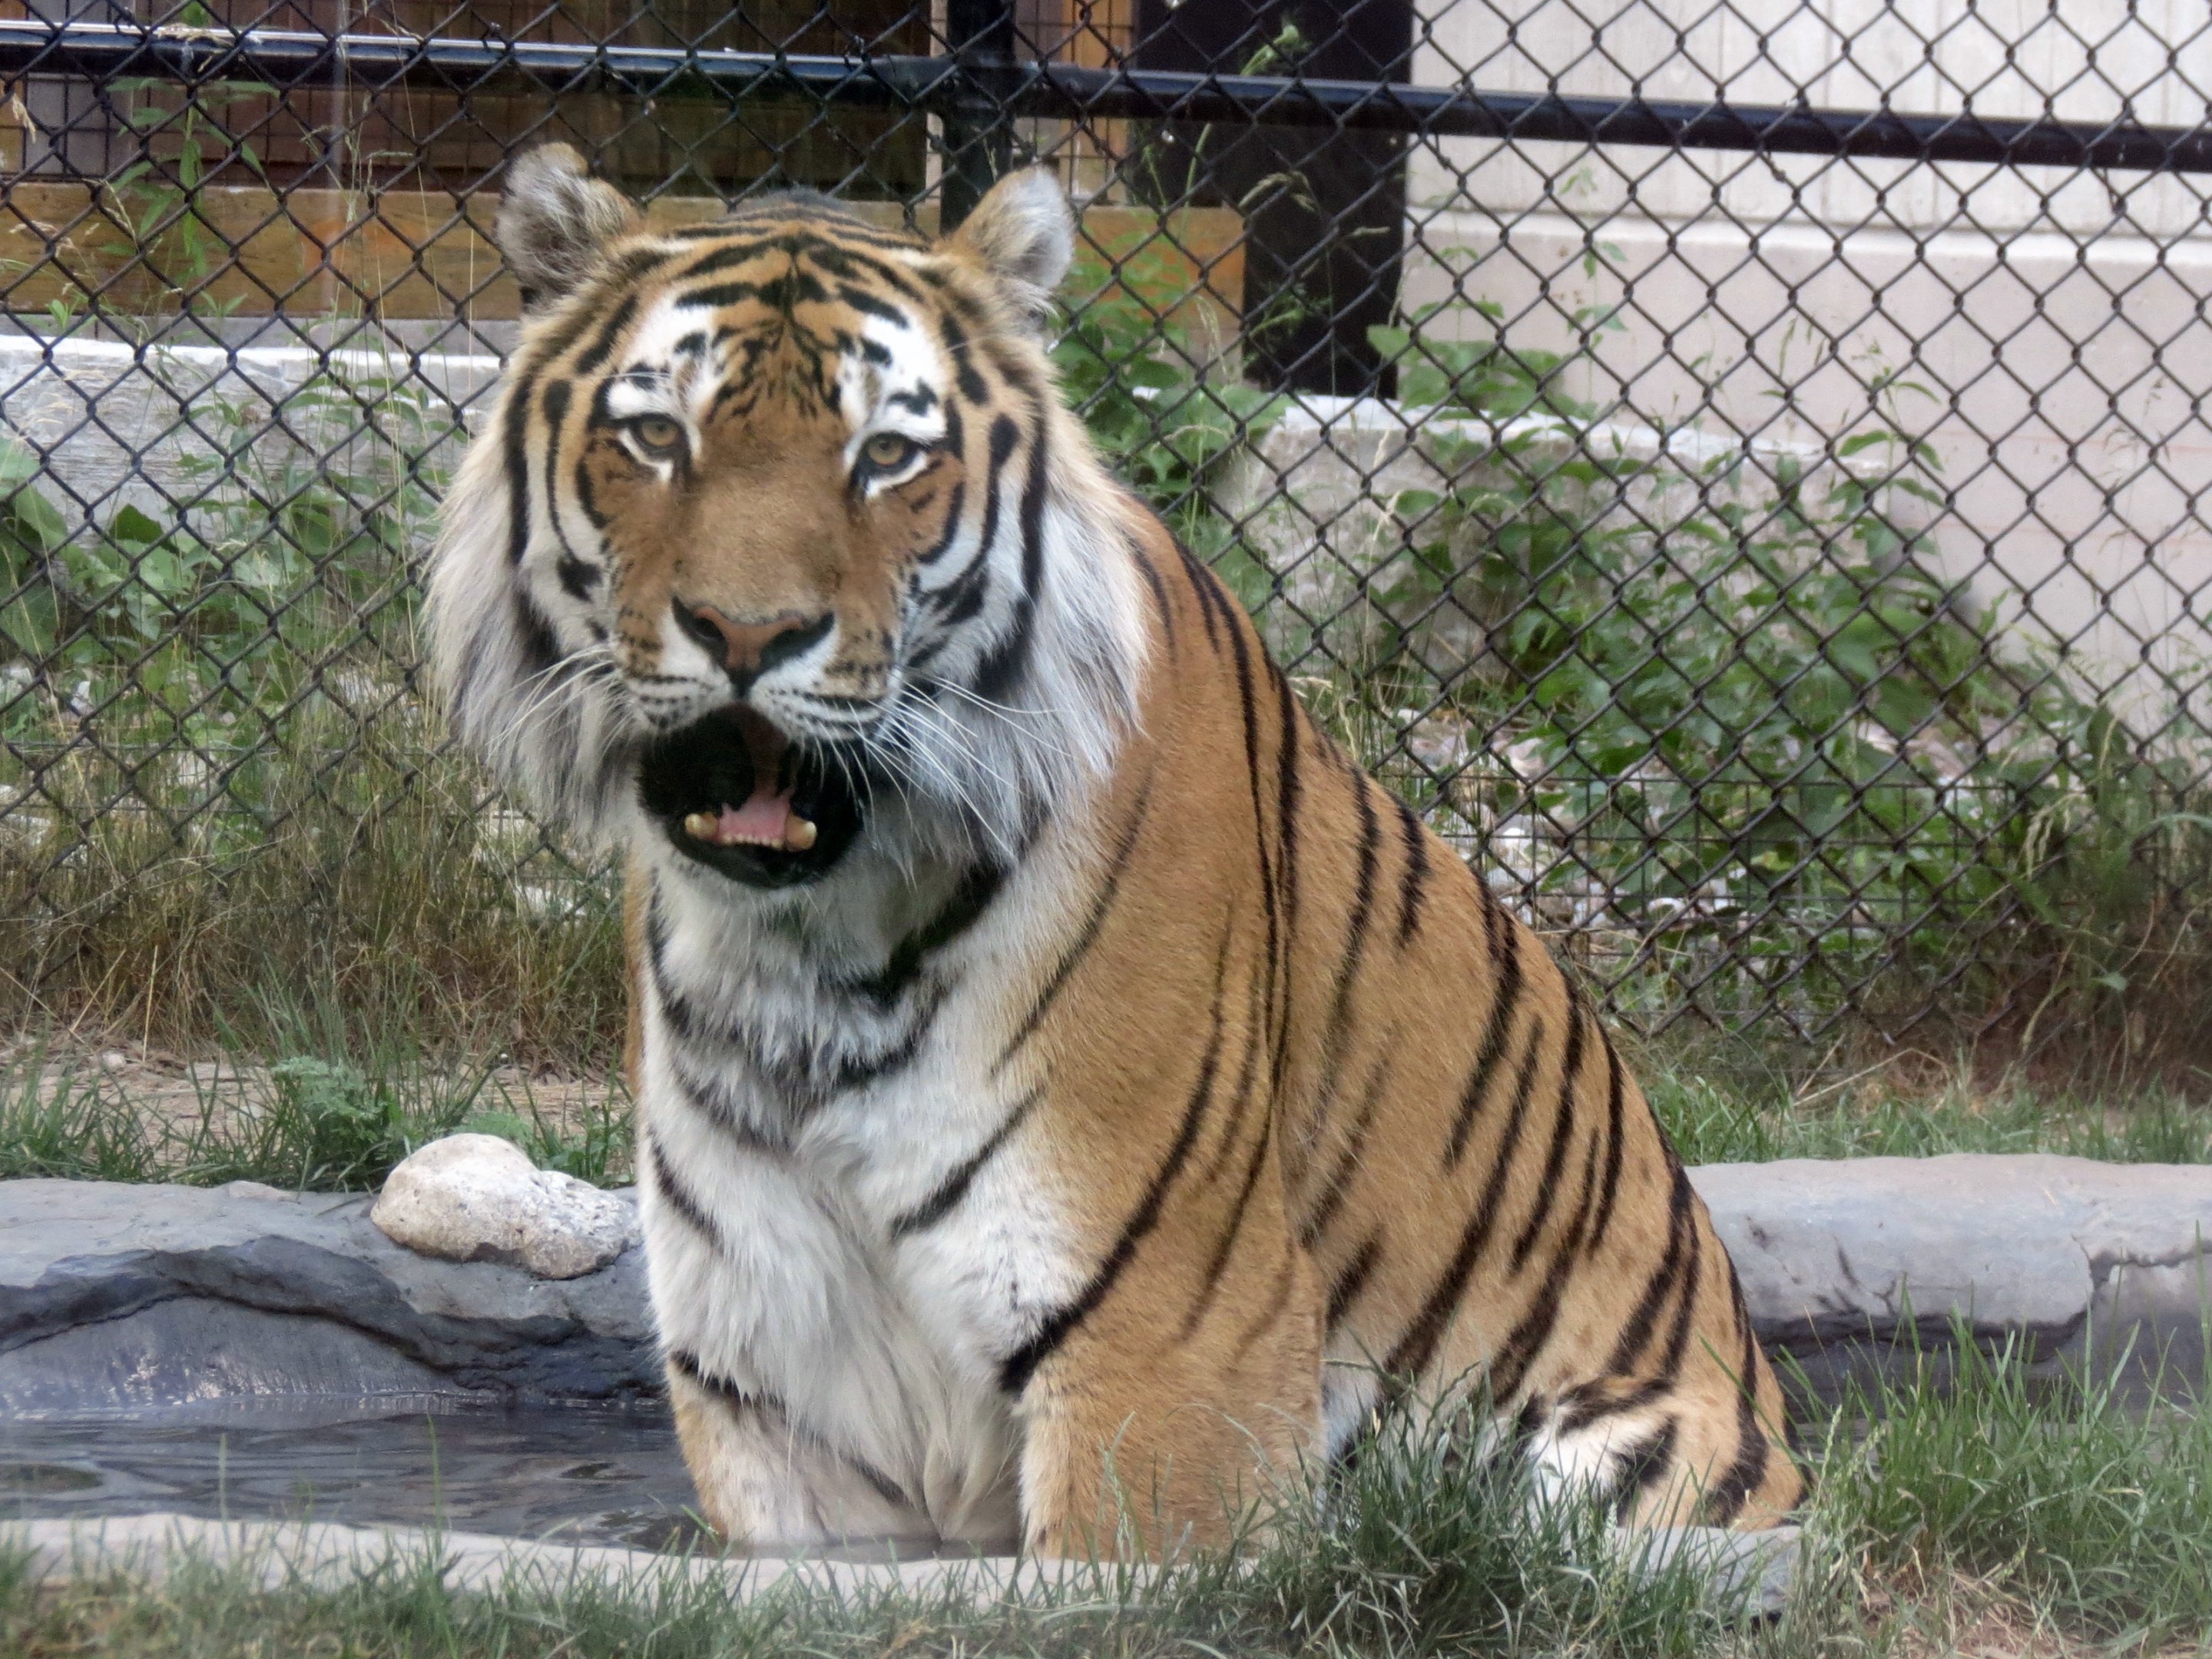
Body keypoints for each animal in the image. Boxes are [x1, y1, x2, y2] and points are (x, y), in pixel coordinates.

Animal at [428, 142, 1802, 1558]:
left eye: (886, 456)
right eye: (658, 436)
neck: (808, 958)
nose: (748, 636)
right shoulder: (782, 1399)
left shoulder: (1171, 1358)